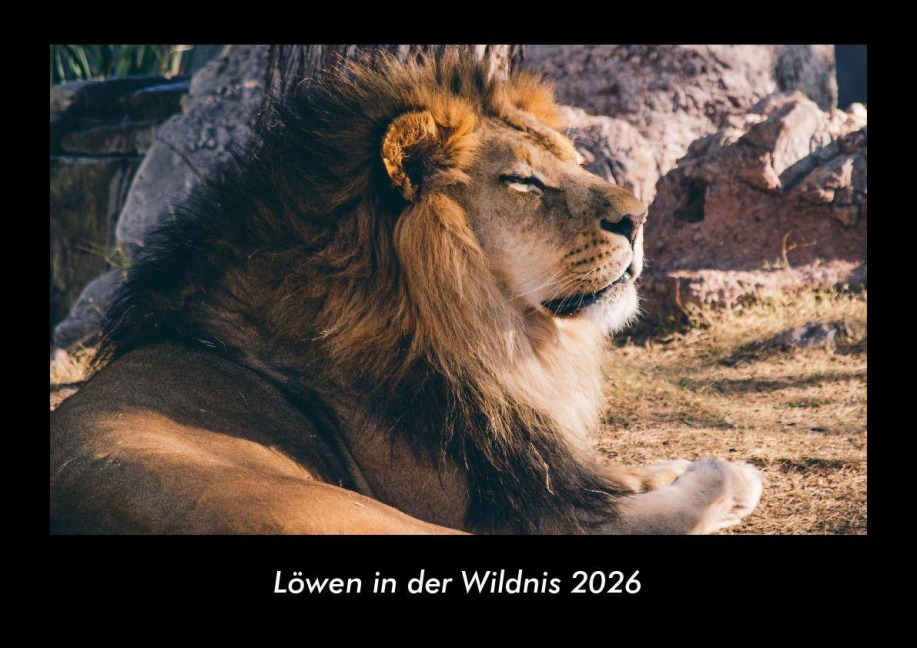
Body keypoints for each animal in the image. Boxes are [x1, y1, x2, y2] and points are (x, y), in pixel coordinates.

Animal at [50, 53, 762, 534]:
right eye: (523, 182)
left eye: (572, 161)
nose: (640, 217)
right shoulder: (500, 508)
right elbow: (639, 507)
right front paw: (722, 477)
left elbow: (607, 474)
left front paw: (675, 465)